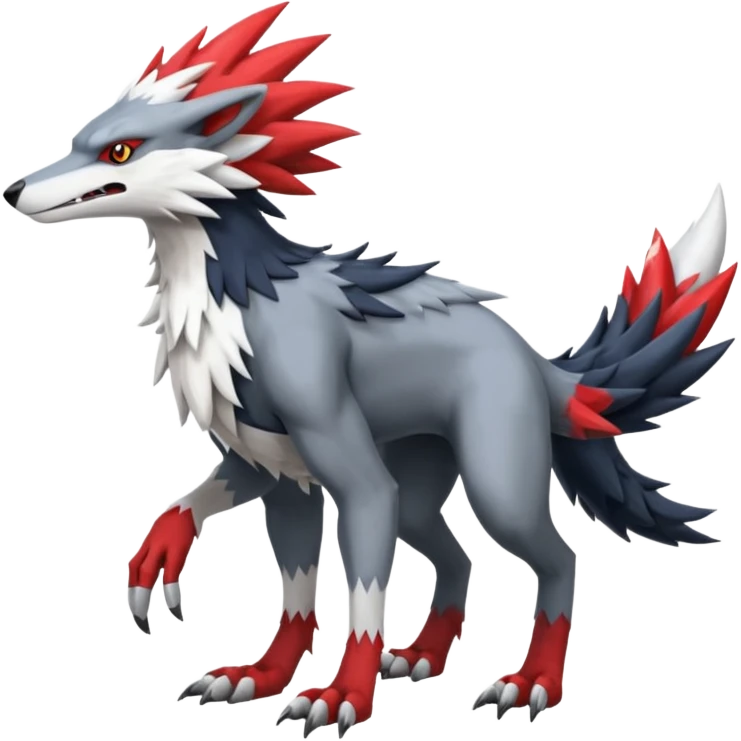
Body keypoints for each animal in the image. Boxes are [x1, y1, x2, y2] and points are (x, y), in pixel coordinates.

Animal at [4, 3, 735, 736]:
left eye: (119, 151)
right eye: (81, 137)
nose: (13, 189)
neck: (233, 307)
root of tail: (535, 359)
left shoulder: (347, 465)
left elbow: (360, 596)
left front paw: (342, 697)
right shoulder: (273, 469)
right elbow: (272, 574)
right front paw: (254, 670)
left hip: (495, 477)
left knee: (558, 557)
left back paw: (530, 684)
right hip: (418, 482)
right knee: (457, 555)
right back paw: (422, 657)